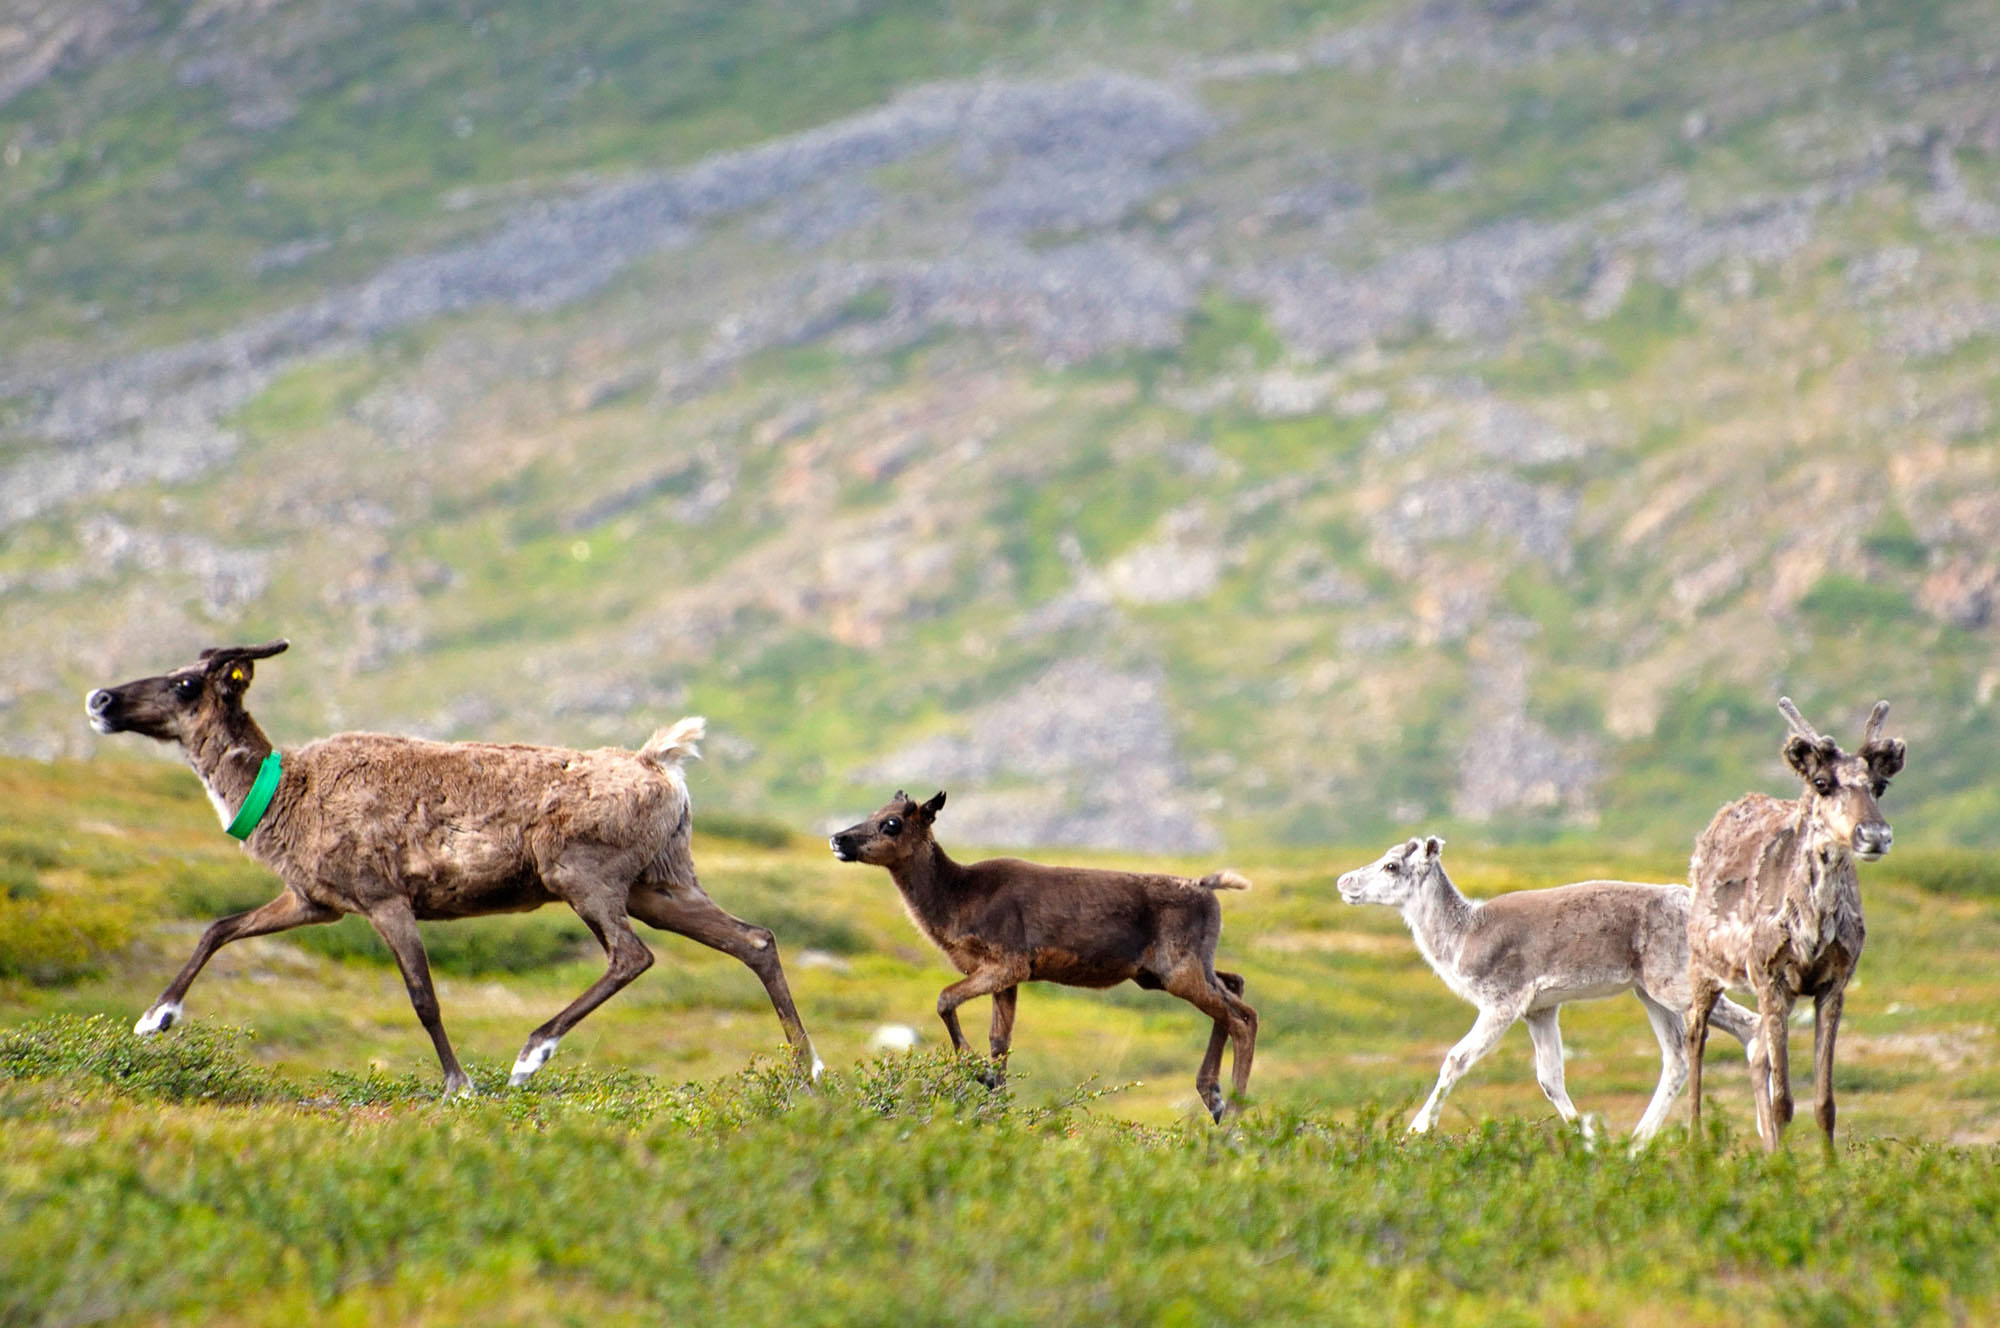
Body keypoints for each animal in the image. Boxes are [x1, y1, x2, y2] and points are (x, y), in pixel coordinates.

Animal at [86, 640, 820, 1088]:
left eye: (185, 683)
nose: (100, 700)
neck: (282, 791)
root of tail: (662, 763)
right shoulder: (315, 901)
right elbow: (219, 927)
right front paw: (155, 1018)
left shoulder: (384, 898)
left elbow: (423, 997)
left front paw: (458, 1083)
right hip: (661, 883)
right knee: (755, 939)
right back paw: (806, 1070)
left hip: (582, 876)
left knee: (631, 955)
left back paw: (532, 1053)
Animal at [828, 788, 1248, 1120]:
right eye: (874, 812)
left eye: (892, 823)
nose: (837, 838)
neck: (955, 900)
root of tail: (1208, 888)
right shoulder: (1008, 976)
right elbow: (999, 1040)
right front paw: (995, 1101)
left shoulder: (1008, 962)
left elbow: (945, 1000)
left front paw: (981, 1076)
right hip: (1165, 972)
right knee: (1236, 985)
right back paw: (1214, 1098)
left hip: (1178, 969)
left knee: (1243, 1018)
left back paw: (1233, 1111)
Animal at [1344, 836, 1752, 1144]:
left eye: (1391, 865)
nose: (1344, 882)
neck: (1463, 934)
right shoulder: (1539, 1011)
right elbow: (1550, 1079)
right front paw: (1589, 1138)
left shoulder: (1501, 1004)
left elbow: (1455, 1059)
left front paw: (1417, 1128)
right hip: (1648, 994)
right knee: (1677, 1058)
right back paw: (1636, 1143)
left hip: (1672, 986)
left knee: (1749, 1022)